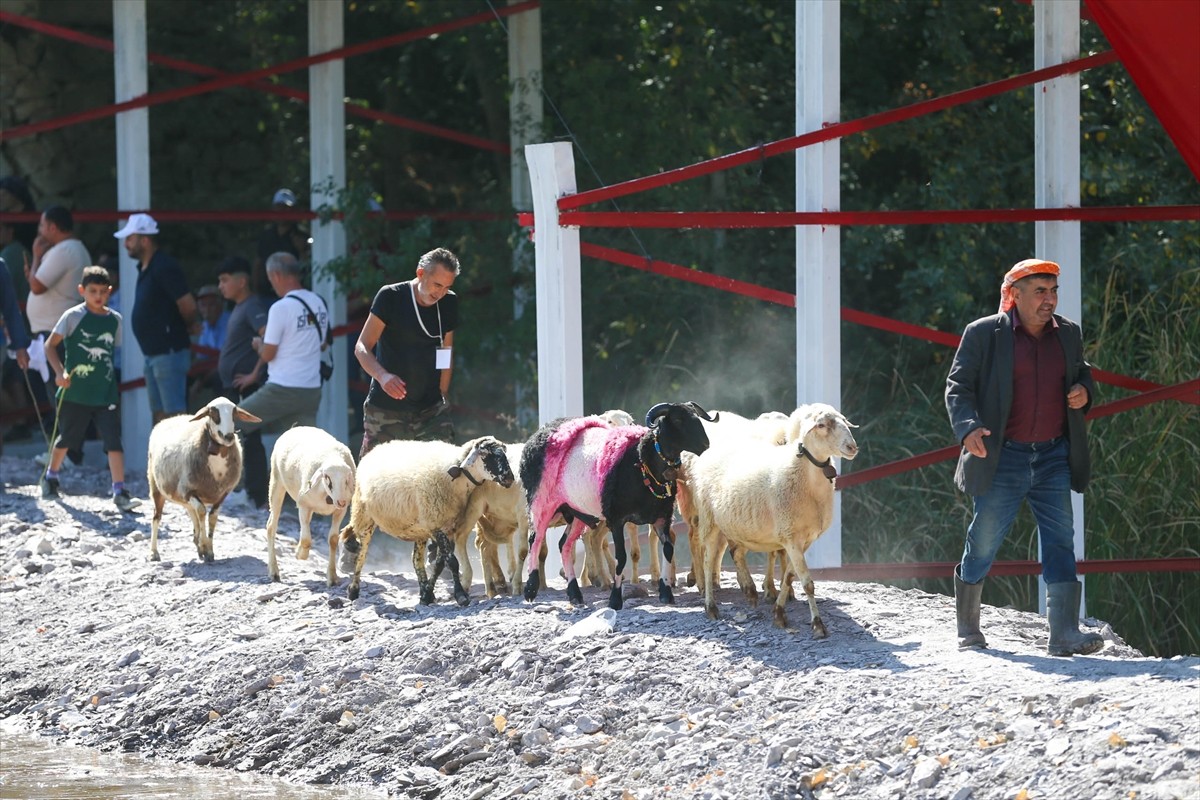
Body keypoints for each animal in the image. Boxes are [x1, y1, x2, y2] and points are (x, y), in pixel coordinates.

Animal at [146, 398, 261, 563]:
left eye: (234, 413)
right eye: (213, 413)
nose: (229, 437)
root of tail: (169, 419)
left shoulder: (222, 493)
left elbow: (212, 517)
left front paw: (209, 550)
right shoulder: (188, 490)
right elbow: (202, 512)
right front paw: (205, 545)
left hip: (182, 498)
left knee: (192, 514)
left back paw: (198, 544)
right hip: (156, 487)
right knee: (157, 517)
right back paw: (154, 552)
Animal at [261, 424, 350, 587]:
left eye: (347, 480)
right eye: (326, 477)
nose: (341, 501)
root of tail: (296, 427)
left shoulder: (340, 512)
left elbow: (333, 539)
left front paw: (332, 576)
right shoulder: (303, 505)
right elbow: (306, 540)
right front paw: (300, 554)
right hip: (276, 482)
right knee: (271, 526)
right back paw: (274, 571)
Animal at [340, 438, 513, 606]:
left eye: (504, 453)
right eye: (484, 454)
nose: (509, 478)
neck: (455, 478)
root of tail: (375, 450)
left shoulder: (447, 527)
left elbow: (440, 564)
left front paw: (427, 594)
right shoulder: (436, 525)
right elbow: (452, 562)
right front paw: (460, 595)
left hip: (419, 529)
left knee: (416, 560)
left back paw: (423, 590)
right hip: (364, 514)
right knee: (361, 554)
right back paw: (353, 589)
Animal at [518, 402, 710, 609]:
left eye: (696, 416)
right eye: (677, 419)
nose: (706, 444)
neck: (641, 461)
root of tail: (542, 432)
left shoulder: (662, 517)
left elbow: (668, 548)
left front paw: (666, 593)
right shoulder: (617, 518)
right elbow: (621, 557)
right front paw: (615, 599)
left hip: (578, 511)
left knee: (565, 545)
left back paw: (574, 593)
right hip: (541, 499)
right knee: (535, 539)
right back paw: (531, 589)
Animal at [681, 407, 859, 638]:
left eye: (844, 421)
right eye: (821, 425)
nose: (852, 447)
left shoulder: (803, 540)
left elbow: (789, 577)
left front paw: (779, 613)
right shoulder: (791, 537)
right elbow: (807, 583)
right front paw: (818, 624)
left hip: (734, 524)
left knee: (734, 552)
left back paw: (749, 591)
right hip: (708, 519)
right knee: (708, 560)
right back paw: (710, 605)